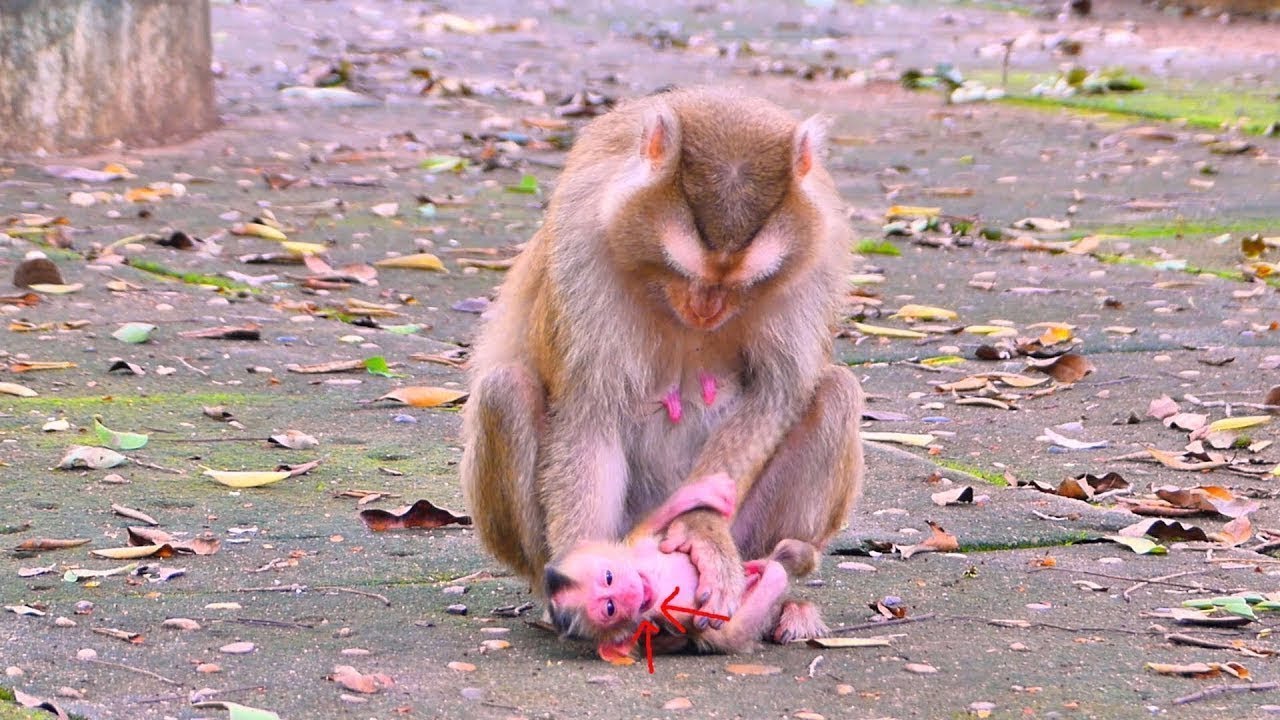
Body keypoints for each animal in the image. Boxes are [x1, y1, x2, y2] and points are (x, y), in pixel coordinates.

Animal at [460, 86, 864, 642]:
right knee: (505, 389)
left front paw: (701, 531)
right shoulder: (584, 241)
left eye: (743, 283)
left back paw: (781, 595)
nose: (705, 308)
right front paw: (587, 582)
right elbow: (589, 409)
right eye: (681, 269)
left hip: (749, 531)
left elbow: (777, 392)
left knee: (837, 392)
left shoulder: (816, 256)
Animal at [544, 472, 822, 662]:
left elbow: (653, 529)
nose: (631, 591)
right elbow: (727, 634)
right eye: (610, 608)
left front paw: (703, 491)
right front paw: (770, 573)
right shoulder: (662, 625)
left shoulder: (639, 550)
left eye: (609, 577)